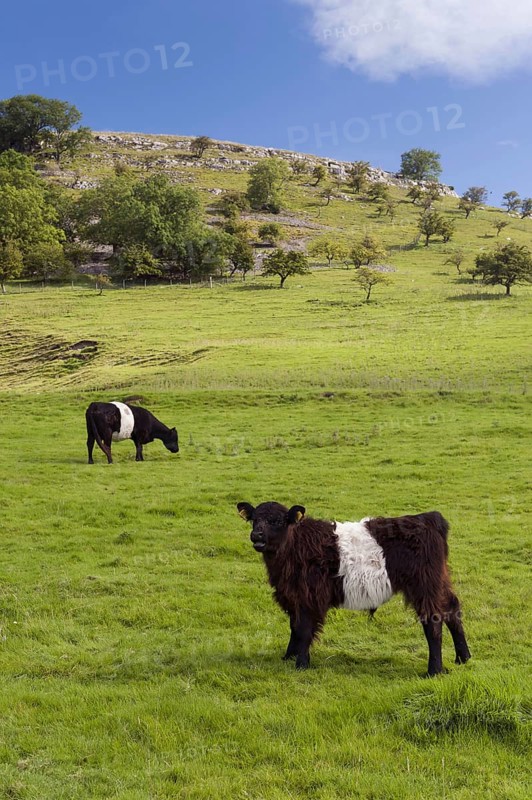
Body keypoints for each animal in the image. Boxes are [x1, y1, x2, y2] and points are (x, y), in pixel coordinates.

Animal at [237, 501, 471, 676]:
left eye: (276, 521)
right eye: (254, 519)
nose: (256, 535)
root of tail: (427, 518)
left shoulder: (308, 597)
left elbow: (303, 630)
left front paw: (301, 664)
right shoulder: (293, 597)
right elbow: (294, 627)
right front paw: (288, 657)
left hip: (424, 586)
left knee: (433, 621)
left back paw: (434, 670)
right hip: (439, 582)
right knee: (452, 609)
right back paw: (463, 657)